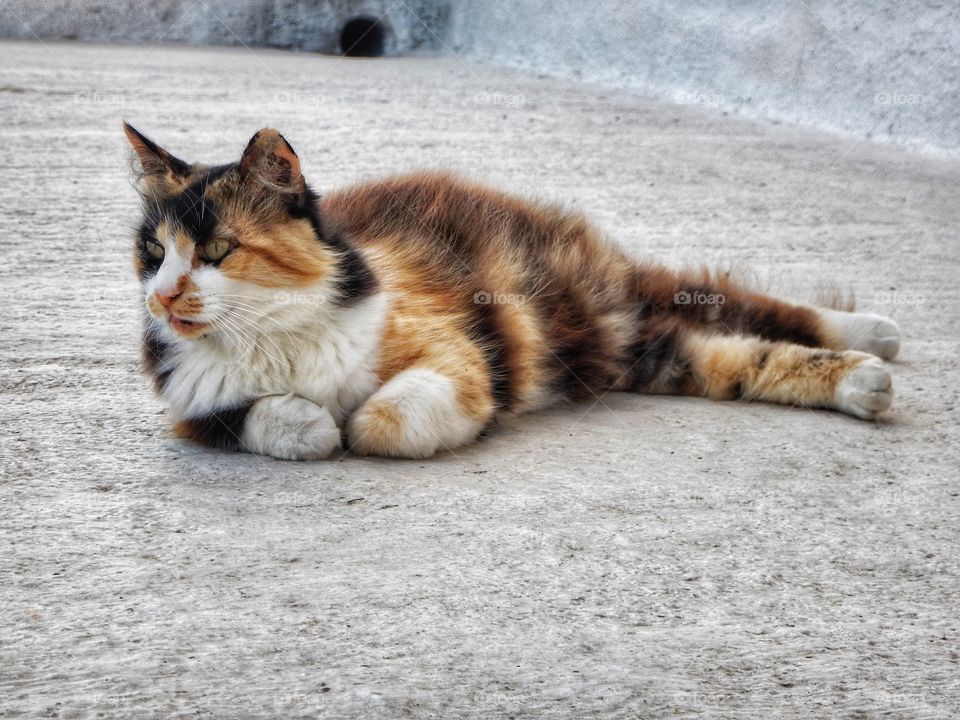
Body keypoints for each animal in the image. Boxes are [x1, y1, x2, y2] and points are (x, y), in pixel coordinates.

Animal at [122, 122, 900, 462]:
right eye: (153, 253)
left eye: (218, 250)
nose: (163, 299)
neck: (274, 335)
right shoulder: (201, 415)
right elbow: (282, 422)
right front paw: (316, 422)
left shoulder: (458, 358)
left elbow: (379, 421)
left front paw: (354, 424)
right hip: (650, 353)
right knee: (742, 357)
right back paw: (865, 381)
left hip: (616, 301)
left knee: (748, 303)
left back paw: (877, 339)